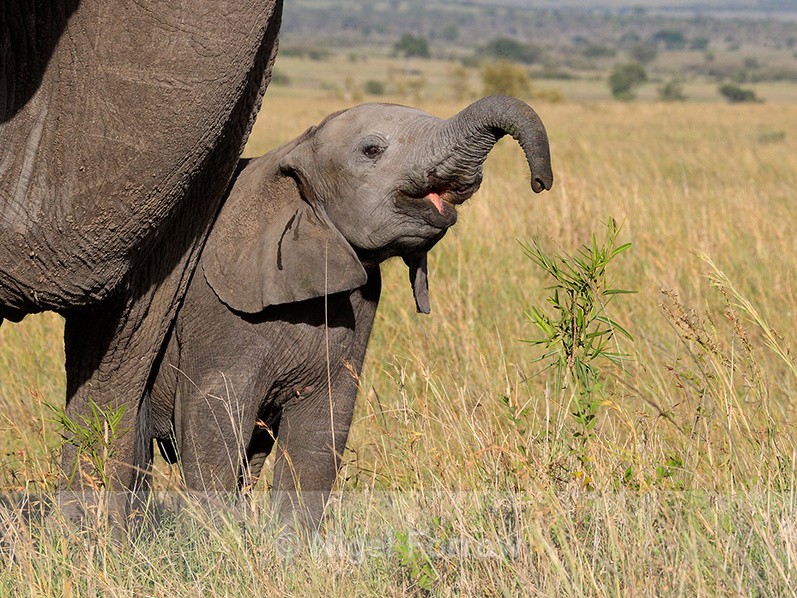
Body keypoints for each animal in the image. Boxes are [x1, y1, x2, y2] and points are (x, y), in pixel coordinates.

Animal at [148, 95, 553, 531]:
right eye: (372, 150)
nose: (540, 183)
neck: (294, 150)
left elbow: (321, 429)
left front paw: (288, 545)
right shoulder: (215, 311)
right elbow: (213, 420)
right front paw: (218, 540)